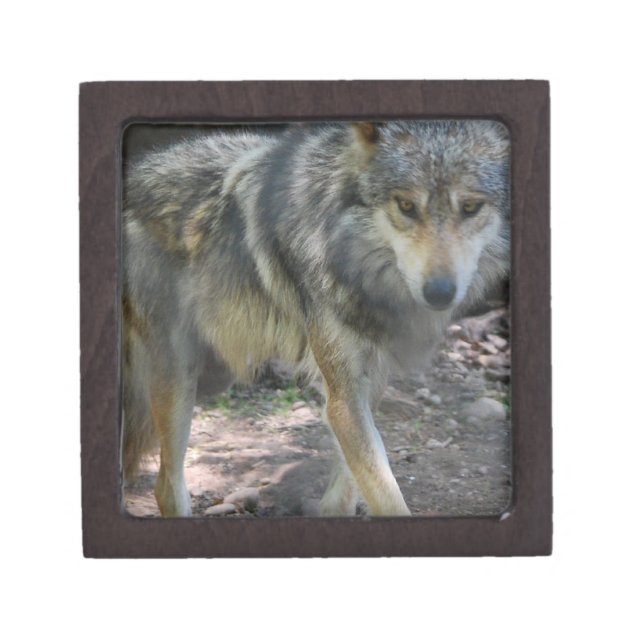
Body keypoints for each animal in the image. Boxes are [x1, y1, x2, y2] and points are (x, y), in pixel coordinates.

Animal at [122, 120, 510, 517]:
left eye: (471, 207)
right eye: (406, 205)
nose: (439, 292)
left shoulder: (368, 384)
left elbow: (349, 487)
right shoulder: (343, 396)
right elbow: (386, 495)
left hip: (215, 376)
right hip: (179, 380)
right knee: (166, 485)